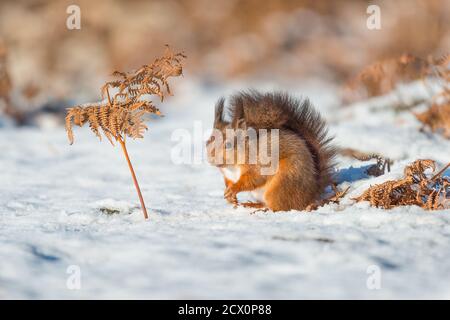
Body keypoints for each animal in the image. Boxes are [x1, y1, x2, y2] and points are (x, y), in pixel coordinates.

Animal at [206, 90, 336, 211]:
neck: (232, 167)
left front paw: (233, 189)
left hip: (282, 183)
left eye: (228, 145)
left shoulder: (258, 164)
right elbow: (228, 181)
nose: (211, 159)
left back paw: (257, 207)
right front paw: (230, 196)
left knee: (279, 206)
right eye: (208, 141)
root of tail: (313, 192)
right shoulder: (228, 175)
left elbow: (254, 178)